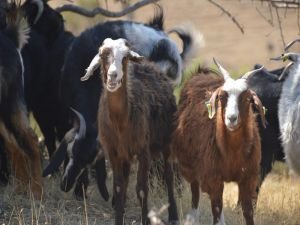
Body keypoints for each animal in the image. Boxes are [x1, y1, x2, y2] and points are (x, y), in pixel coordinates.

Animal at [79, 37, 178, 224]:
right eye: (102, 54)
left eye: (125, 57)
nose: (113, 75)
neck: (120, 121)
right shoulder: (113, 152)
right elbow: (119, 187)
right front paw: (119, 218)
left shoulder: (143, 151)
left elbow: (142, 189)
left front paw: (145, 219)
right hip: (126, 154)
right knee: (125, 180)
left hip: (167, 141)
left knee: (169, 175)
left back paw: (173, 215)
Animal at [172, 61, 266, 225]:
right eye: (222, 97)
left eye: (247, 98)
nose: (231, 118)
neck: (233, 152)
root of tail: (200, 73)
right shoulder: (213, 177)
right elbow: (216, 208)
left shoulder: (248, 178)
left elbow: (248, 212)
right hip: (189, 164)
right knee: (195, 190)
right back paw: (192, 218)